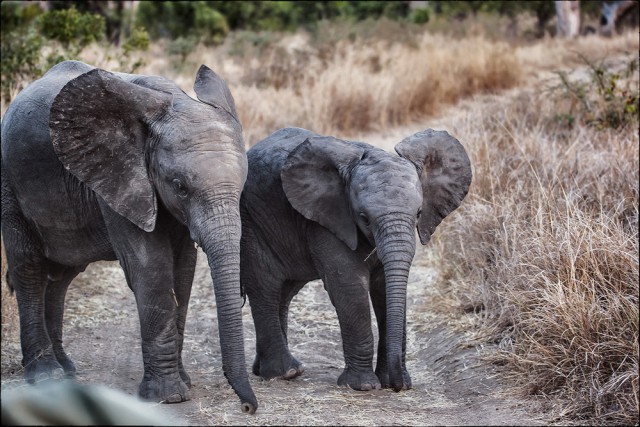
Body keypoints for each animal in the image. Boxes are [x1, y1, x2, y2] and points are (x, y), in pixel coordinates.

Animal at [3, 61, 258, 414]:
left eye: (242, 185)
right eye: (180, 186)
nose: (248, 407)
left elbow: (183, 270)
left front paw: (183, 383)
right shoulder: (119, 176)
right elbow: (151, 267)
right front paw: (169, 396)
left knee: (61, 276)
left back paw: (65, 372)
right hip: (9, 181)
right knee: (29, 269)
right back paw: (45, 376)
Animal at [239, 126, 470, 392]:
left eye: (419, 213)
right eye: (364, 218)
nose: (399, 386)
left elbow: (384, 288)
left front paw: (390, 381)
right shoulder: (328, 219)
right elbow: (349, 286)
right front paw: (363, 386)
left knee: (284, 292)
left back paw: (268, 370)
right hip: (250, 220)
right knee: (265, 286)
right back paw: (285, 372)